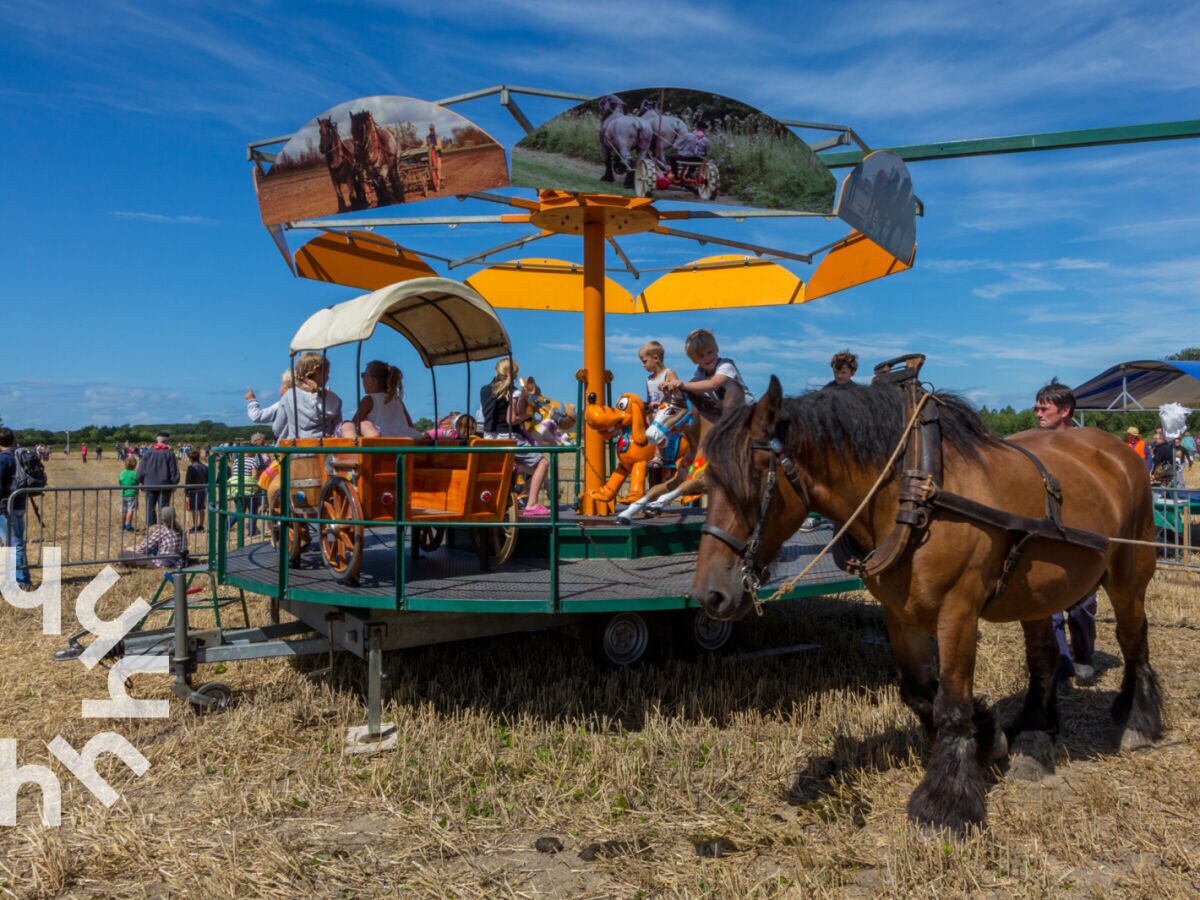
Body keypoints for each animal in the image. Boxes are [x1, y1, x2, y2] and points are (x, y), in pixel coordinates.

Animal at [696, 372, 1161, 830]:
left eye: (757, 476)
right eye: (708, 480)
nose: (710, 594)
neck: (914, 490)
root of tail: (1117, 451)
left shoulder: (958, 611)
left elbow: (951, 704)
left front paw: (947, 799)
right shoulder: (900, 614)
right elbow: (920, 693)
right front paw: (987, 735)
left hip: (1129, 575)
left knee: (1133, 640)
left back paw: (1138, 721)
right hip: (1037, 591)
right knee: (1044, 659)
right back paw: (1034, 736)